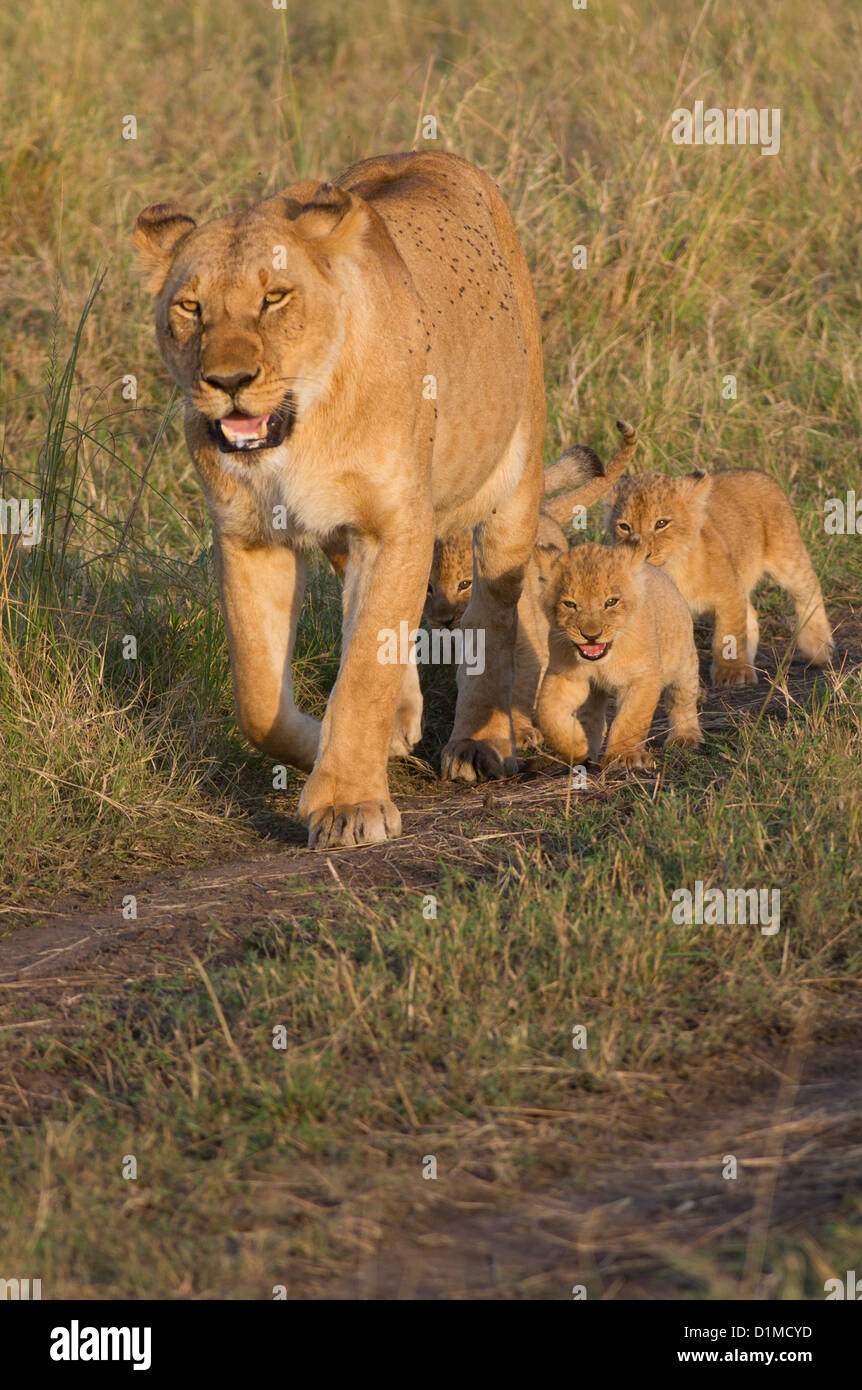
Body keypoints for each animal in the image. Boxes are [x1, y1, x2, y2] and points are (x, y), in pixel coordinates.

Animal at [134, 152, 546, 849]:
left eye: (274, 297)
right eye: (190, 307)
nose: (228, 381)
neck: (299, 431)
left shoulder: (396, 524)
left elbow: (363, 675)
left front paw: (349, 803)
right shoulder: (250, 537)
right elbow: (258, 698)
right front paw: (326, 749)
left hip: (514, 475)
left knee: (491, 608)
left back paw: (480, 743)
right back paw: (403, 724)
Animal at [425, 420, 639, 746]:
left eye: (464, 584)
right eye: (428, 588)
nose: (444, 621)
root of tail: (545, 511)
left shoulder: (527, 646)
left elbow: (522, 686)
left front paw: (523, 731)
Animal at [536, 541, 702, 769]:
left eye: (611, 602)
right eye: (570, 604)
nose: (591, 636)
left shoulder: (642, 677)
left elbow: (630, 719)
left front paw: (624, 756)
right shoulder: (566, 675)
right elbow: (547, 714)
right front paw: (576, 748)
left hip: (684, 662)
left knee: (682, 699)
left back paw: (685, 737)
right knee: (592, 716)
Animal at [606, 469, 834, 686]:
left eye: (661, 523)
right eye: (624, 526)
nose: (642, 553)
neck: (671, 570)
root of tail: (757, 473)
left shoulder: (729, 593)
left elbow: (728, 633)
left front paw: (731, 674)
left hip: (786, 557)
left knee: (808, 590)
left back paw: (818, 648)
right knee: (752, 614)